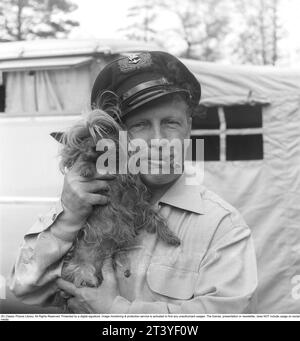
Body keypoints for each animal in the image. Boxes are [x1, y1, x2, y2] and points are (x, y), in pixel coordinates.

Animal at [59, 107, 180, 288]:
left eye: (105, 131)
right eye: (83, 138)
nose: (95, 146)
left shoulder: (137, 204)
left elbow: (156, 217)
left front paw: (170, 236)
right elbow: (80, 161)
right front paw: (86, 168)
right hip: (80, 265)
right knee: (79, 273)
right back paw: (88, 279)